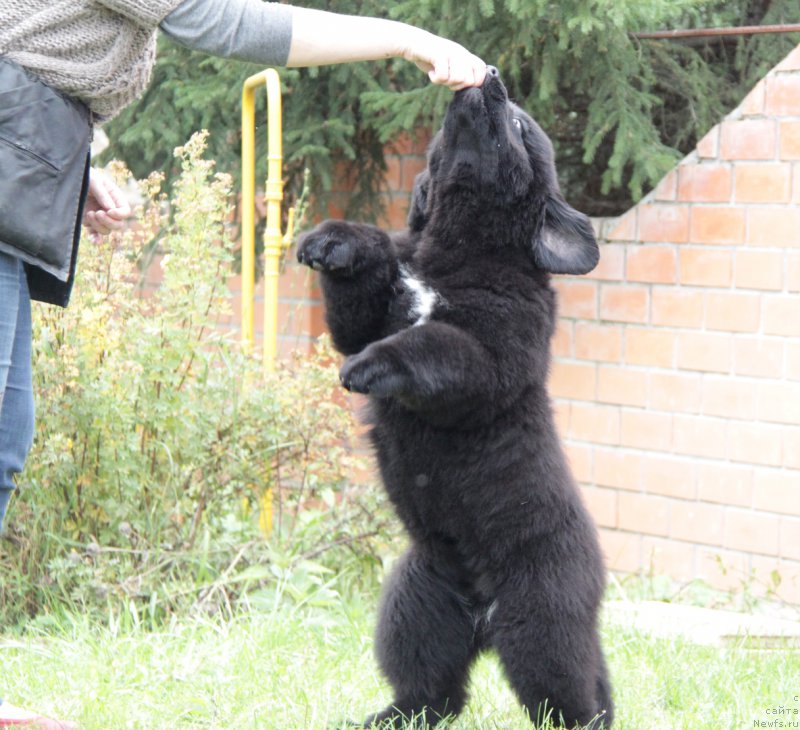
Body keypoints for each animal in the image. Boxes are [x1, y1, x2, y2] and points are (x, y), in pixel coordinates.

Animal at [296, 65, 616, 724]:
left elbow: (428, 346)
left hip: (542, 618)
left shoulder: (486, 357)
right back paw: (389, 716)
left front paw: (371, 367)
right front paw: (336, 242)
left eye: (517, 123)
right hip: (416, 600)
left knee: (572, 691)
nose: (488, 74)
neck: (456, 250)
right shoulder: (371, 311)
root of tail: (483, 619)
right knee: (435, 690)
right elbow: (367, 282)